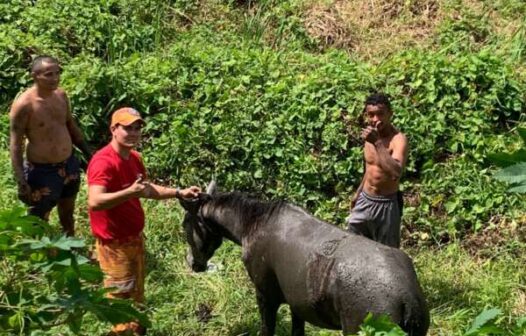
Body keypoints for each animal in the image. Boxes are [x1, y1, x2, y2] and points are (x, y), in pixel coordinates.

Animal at [179, 182, 432, 334]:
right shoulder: (297, 304)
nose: (192, 263)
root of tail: (408, 298)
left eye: (185, 224)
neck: (252, 223)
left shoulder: (265, 296)